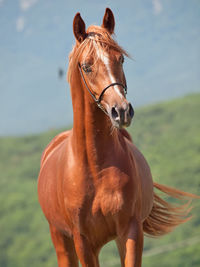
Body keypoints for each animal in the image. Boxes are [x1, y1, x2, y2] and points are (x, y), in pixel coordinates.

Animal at [37, 7, 197, 266]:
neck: (96, 169)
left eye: (120, 59)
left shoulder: (129, 231)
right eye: (87, 66)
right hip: (61, 240)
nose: (121, 111)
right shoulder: (83, 243)